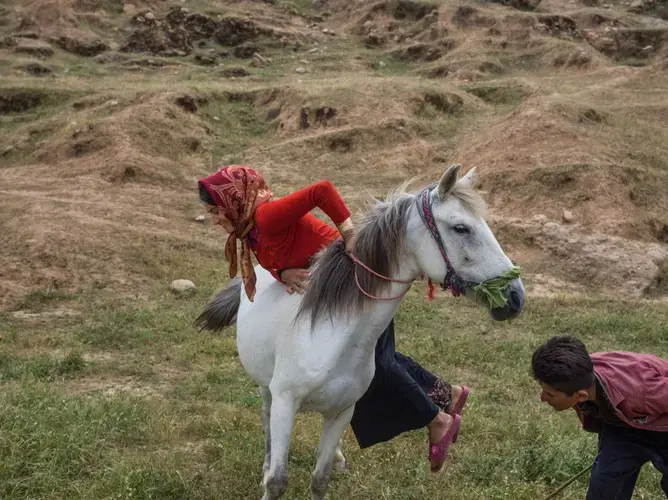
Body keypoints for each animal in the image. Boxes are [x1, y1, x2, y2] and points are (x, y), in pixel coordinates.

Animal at [196, 165, 524, 500]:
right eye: (461, 228)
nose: (515, 296)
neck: (330, 336)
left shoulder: (343, 411)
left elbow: (320, 478)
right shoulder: (285, 404)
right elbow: (277, 480)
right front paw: (269, 474)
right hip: (266, 388)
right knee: (265, 416)